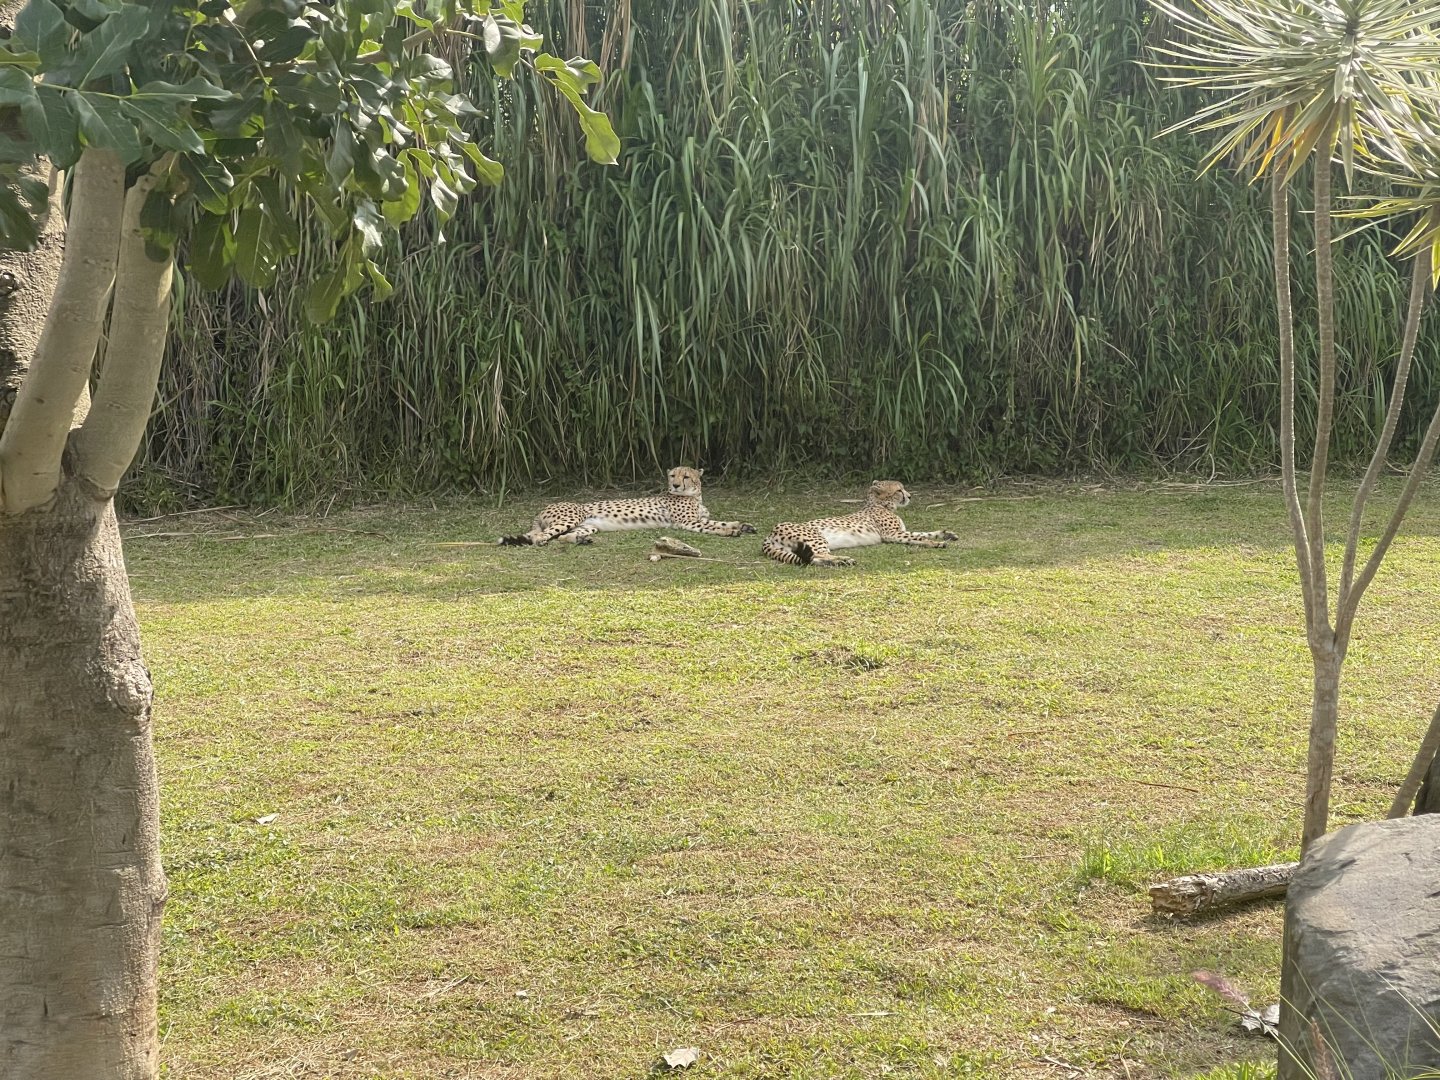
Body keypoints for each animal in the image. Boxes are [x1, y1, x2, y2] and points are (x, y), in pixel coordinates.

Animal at [499, 467, 756, 546]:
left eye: (685, 476)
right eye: (673, 475)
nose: (674, 484)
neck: (695, 496)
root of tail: (542, 509)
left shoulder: (698, 518)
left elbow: (719, 520)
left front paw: (743, 526)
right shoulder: (686, 523)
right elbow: (713, 526)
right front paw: (731, 531)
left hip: (588, 525)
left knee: (563, 537)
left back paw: (582, 540)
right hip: (570, 517)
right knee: (540, 536)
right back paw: (542, 541)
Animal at [761, 480, 957, 566]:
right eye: (899, 490)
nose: (909, 496)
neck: (880, 504)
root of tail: (771, 532)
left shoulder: (899, 532)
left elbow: (923, 533)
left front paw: (947, 534)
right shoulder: (891, 534)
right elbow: (920, 538)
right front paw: (937, 543)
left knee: (813, 559)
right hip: (816, 538)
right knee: (818, 555)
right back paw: (843, 559)